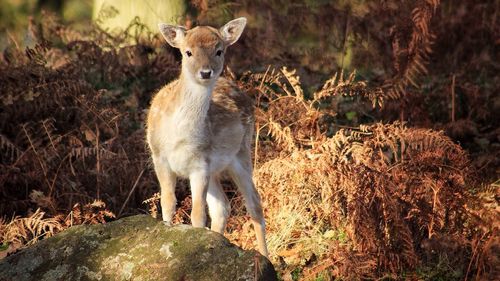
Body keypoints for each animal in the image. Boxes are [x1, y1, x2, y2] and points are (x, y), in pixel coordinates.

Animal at [146, 18, 268, 256]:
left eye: (219, 51)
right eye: (188, 52)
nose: (205, 72)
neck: (179, 136)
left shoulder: (201, 164)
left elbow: (197, 214)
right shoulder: (159, 157)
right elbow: (167, 202)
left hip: (242, 153)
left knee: (254, 204)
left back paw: (265, 256)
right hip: (216, 170)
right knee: (223, 206)